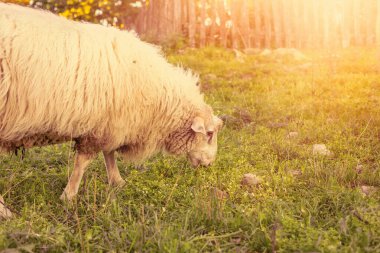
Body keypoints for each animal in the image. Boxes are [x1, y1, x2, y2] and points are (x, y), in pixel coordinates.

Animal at [0, 2, 223, 210]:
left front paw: (117, 181)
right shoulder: (98, 127)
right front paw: (69, 196)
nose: (209, 164)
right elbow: (82, 163)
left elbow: (109, 154)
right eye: (209, 133)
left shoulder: (112, 122)